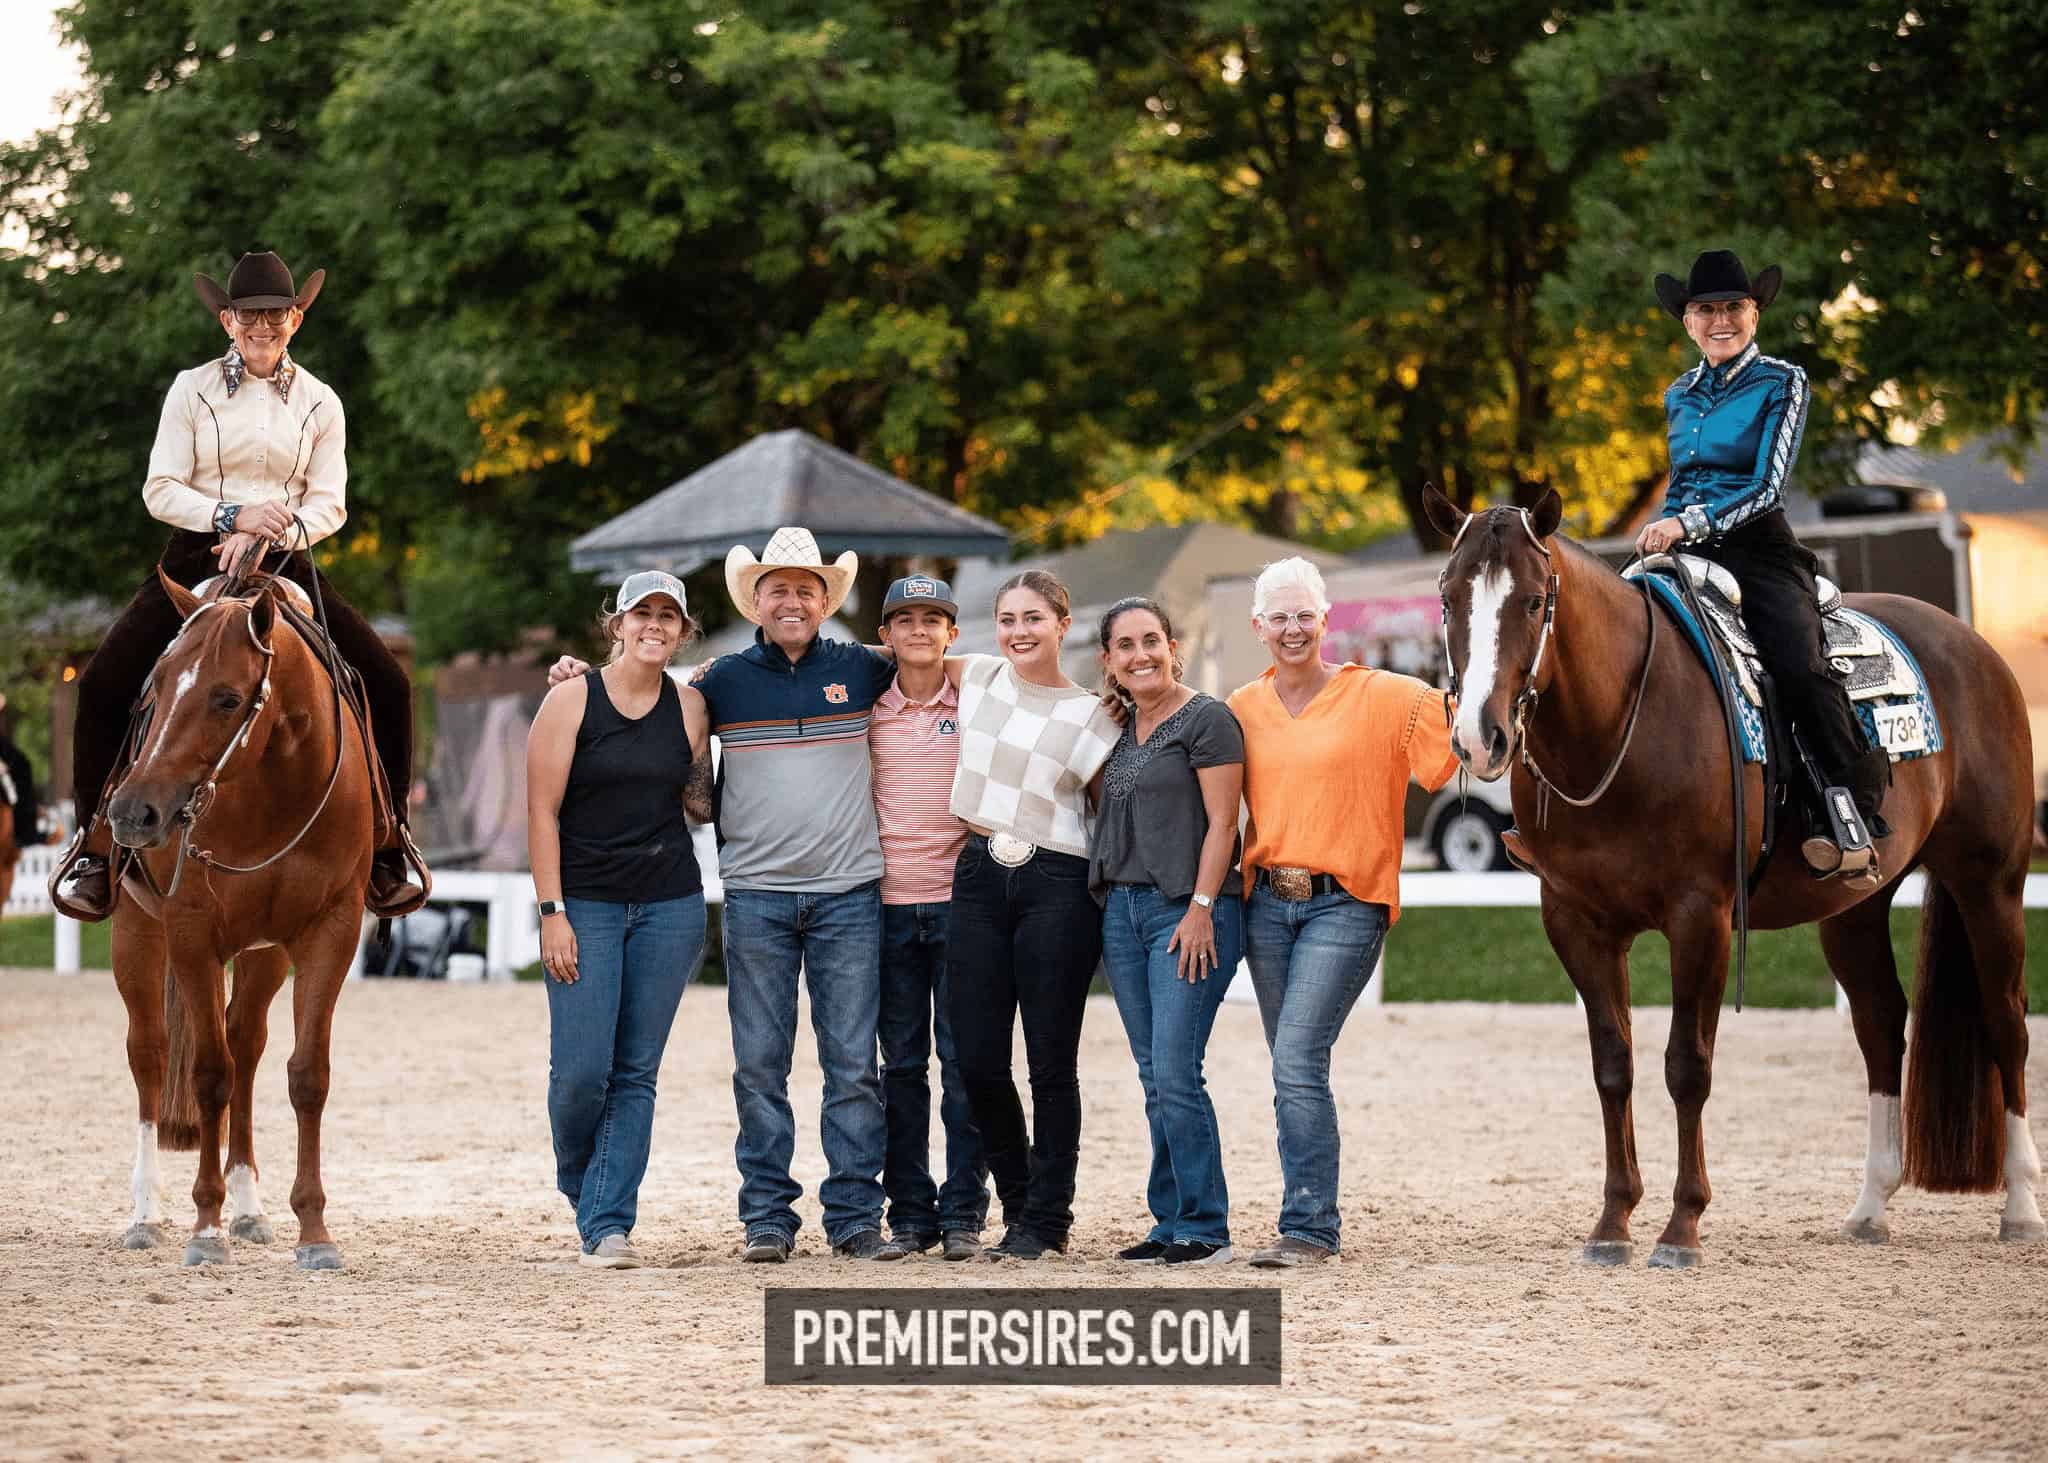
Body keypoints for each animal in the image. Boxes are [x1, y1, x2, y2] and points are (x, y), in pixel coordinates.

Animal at [104, 568, 379, 1269]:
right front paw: (205, 1227)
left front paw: (314, 1230)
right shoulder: (192, 933)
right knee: (151, 1053)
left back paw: (251, 1208)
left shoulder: (328, 933)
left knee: (246, 1043)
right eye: (156, 686)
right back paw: (146, 1215)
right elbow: (208, 1074)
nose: (133, 812)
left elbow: (306, 1075)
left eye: (227, 700)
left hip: (264, 954)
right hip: (137, 934)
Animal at [1424, 483, 2039, 1267]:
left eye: (1534, 601)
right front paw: (1613, 1222)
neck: (1620, 723)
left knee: (2006, 1021)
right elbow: (1613, 1063)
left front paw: (1682, 1226)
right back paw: (1869, 1207)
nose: (1481, 738)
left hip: (1989, 882)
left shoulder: (1701, 917)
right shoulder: (1576, 922)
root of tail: (1974, 646)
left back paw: (2021, 1206)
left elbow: (1687, 1064)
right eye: (1448, 598)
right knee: (1881, 1025)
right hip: (1855, 907)